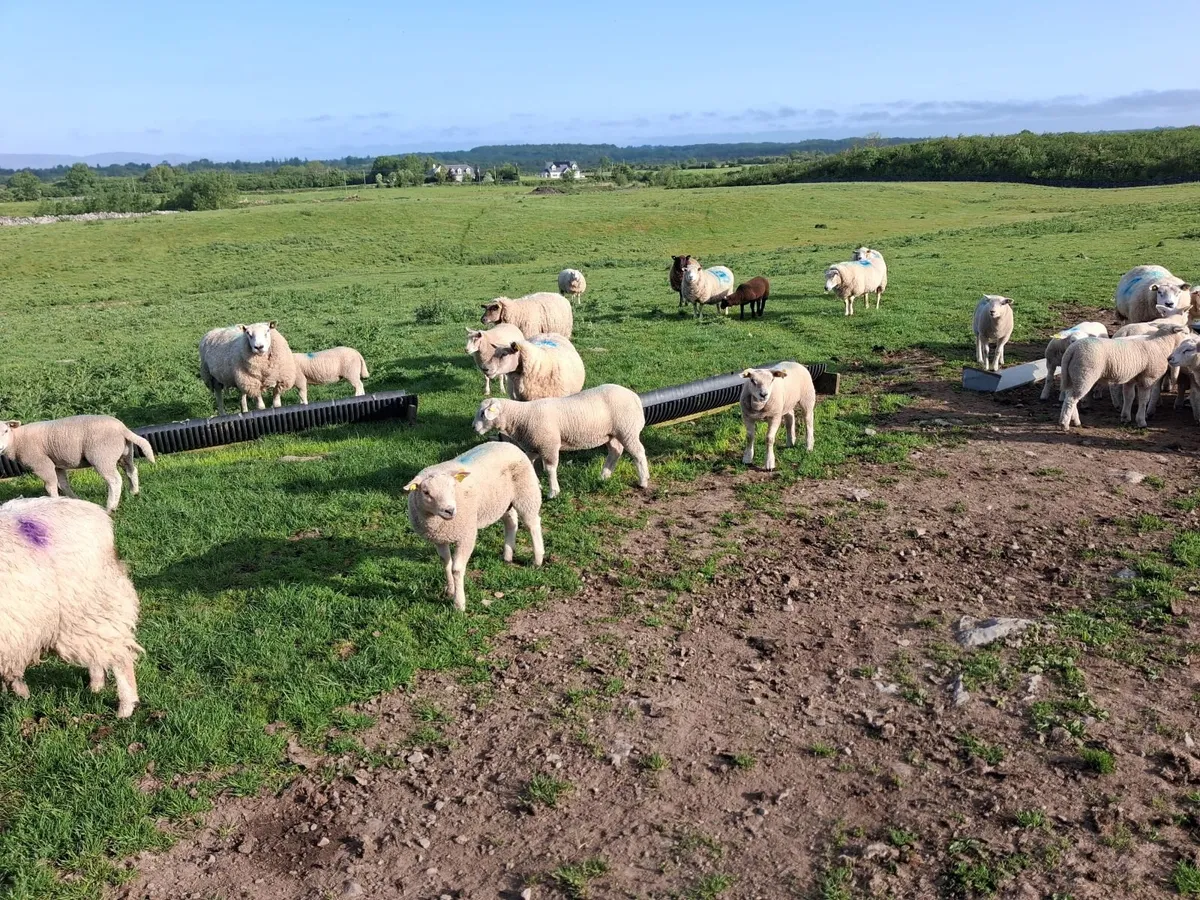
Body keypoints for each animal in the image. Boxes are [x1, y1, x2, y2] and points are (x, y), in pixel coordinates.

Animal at [0, 416, 156, 513]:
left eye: (6, 430)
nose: (0, 447)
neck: (16, 440)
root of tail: (123, 429)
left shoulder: (42, 464)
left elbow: (50, 486)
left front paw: (55, 503)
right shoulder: (57, 464)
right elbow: (63, 484)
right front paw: (74, 499)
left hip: (102, 457)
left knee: (115, 480)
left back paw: (110, 507)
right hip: (125, 453)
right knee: (131, 470)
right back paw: (134, 492)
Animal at [0, 496, 143, 717]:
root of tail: (98, 515)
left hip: (89, 611)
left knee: (121, 656)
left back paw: (125, 708)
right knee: (98, 655)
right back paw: (95, 688)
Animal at [405, 442, 544, 612]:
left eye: (453, 487)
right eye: (426, 492)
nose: (450, 510)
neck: (438, 521)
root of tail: (506, 443)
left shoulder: (466, 535)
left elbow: (457, 569)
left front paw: (459, 604)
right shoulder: (439, 538)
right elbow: (445, 562)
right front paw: (450, 590)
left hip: (526, 492)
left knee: (533, 523)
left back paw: (537, 559)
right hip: (501, 501)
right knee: (511, 522)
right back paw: (507, 555)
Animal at [472, 384, 649, 498]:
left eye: (482, 413)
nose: (473, 427)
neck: (521, 417)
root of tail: (634, 397)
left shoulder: (548, 445)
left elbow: (550, 469)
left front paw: (553, 492)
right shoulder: (534, 446)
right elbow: (530, 463)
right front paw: (537, 484)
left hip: (627, 430)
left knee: (638, 453)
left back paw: (643, 480)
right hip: (612, 433)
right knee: (615, 451)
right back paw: (604, 476)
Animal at [1058, 326, 1191, 431]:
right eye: (1185, 333)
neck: (1161, 344)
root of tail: (1071, 350)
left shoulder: (1131, 379)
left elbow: (1129, 397)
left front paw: (1125, 417)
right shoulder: (1148, 379)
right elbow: (1144, 400)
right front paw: (1141, 421)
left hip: (1074, 376)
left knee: (1070, 396)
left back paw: (1075, 421)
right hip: (1084, 375)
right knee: (1071, 399)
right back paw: (1064, 424)